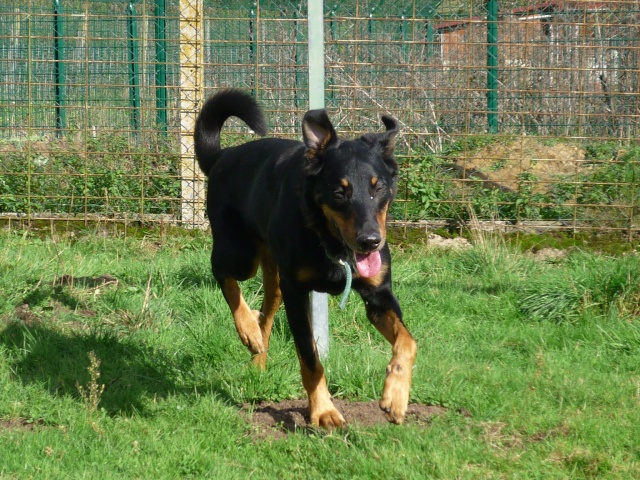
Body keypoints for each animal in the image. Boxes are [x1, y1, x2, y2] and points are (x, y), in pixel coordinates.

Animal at [192, 89, 418, 428]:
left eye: (379, 188)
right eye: (340, 192)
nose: (370, 241)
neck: (331, 244)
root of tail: (222, 157)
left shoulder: (378, 296)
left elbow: (408, 341)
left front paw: (395, 397)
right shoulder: (297, 294)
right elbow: (310, 357)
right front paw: (323, 411)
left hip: (272, 271)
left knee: (267, 308)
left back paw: (257, 350)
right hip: (241, 254)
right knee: (222, 273)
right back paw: (246, 328)